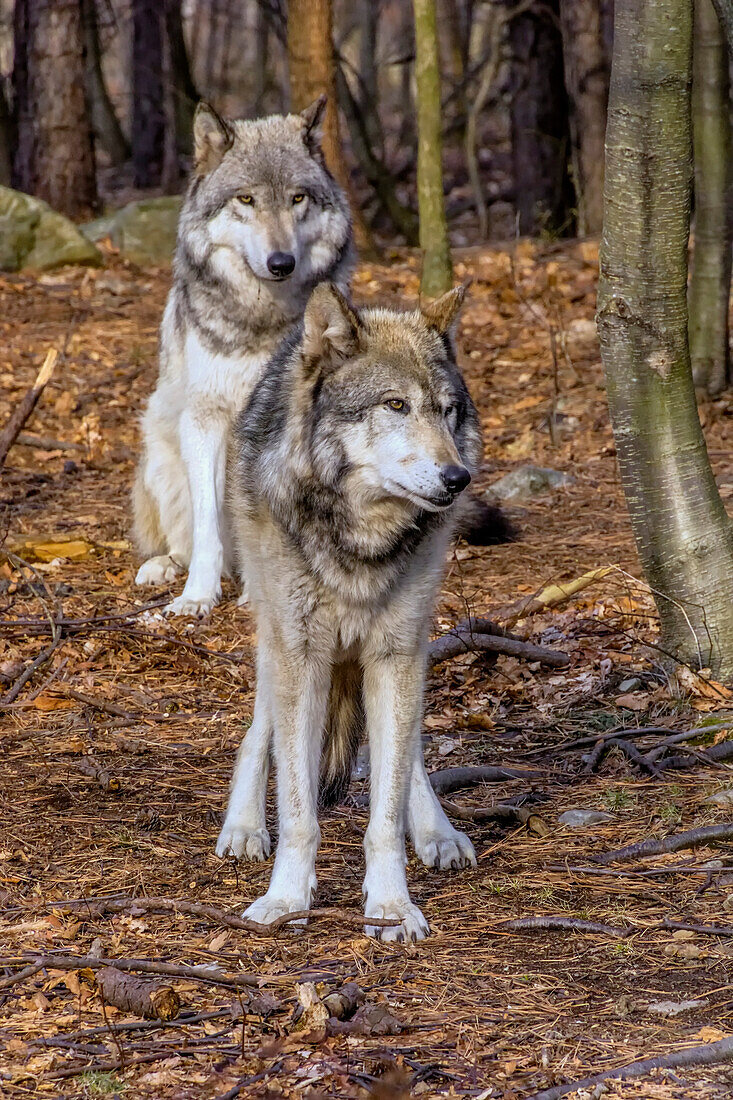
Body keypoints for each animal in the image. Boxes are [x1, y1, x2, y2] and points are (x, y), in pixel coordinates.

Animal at [132, 97, 352, 616]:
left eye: (297, 199)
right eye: (246, 200)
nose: (281, 263)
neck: (262, 321)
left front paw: (262, 593)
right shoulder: (205, 417)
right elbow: (209, 526)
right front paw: (196, 597)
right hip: (161, 453)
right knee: (183, 539)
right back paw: (163, 568)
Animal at [215, 281, 484, 937]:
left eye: (447, 410)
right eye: (395, 405)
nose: (457, 477)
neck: (360, 542)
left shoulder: (397, 654)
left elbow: (385, 807)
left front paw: (391, 905)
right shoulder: (300, 653)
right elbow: (297, 807)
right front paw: (286, 898)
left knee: (409, 754)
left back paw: (438, 832)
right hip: (275, 631)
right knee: (261, 728)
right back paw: (243, 826)